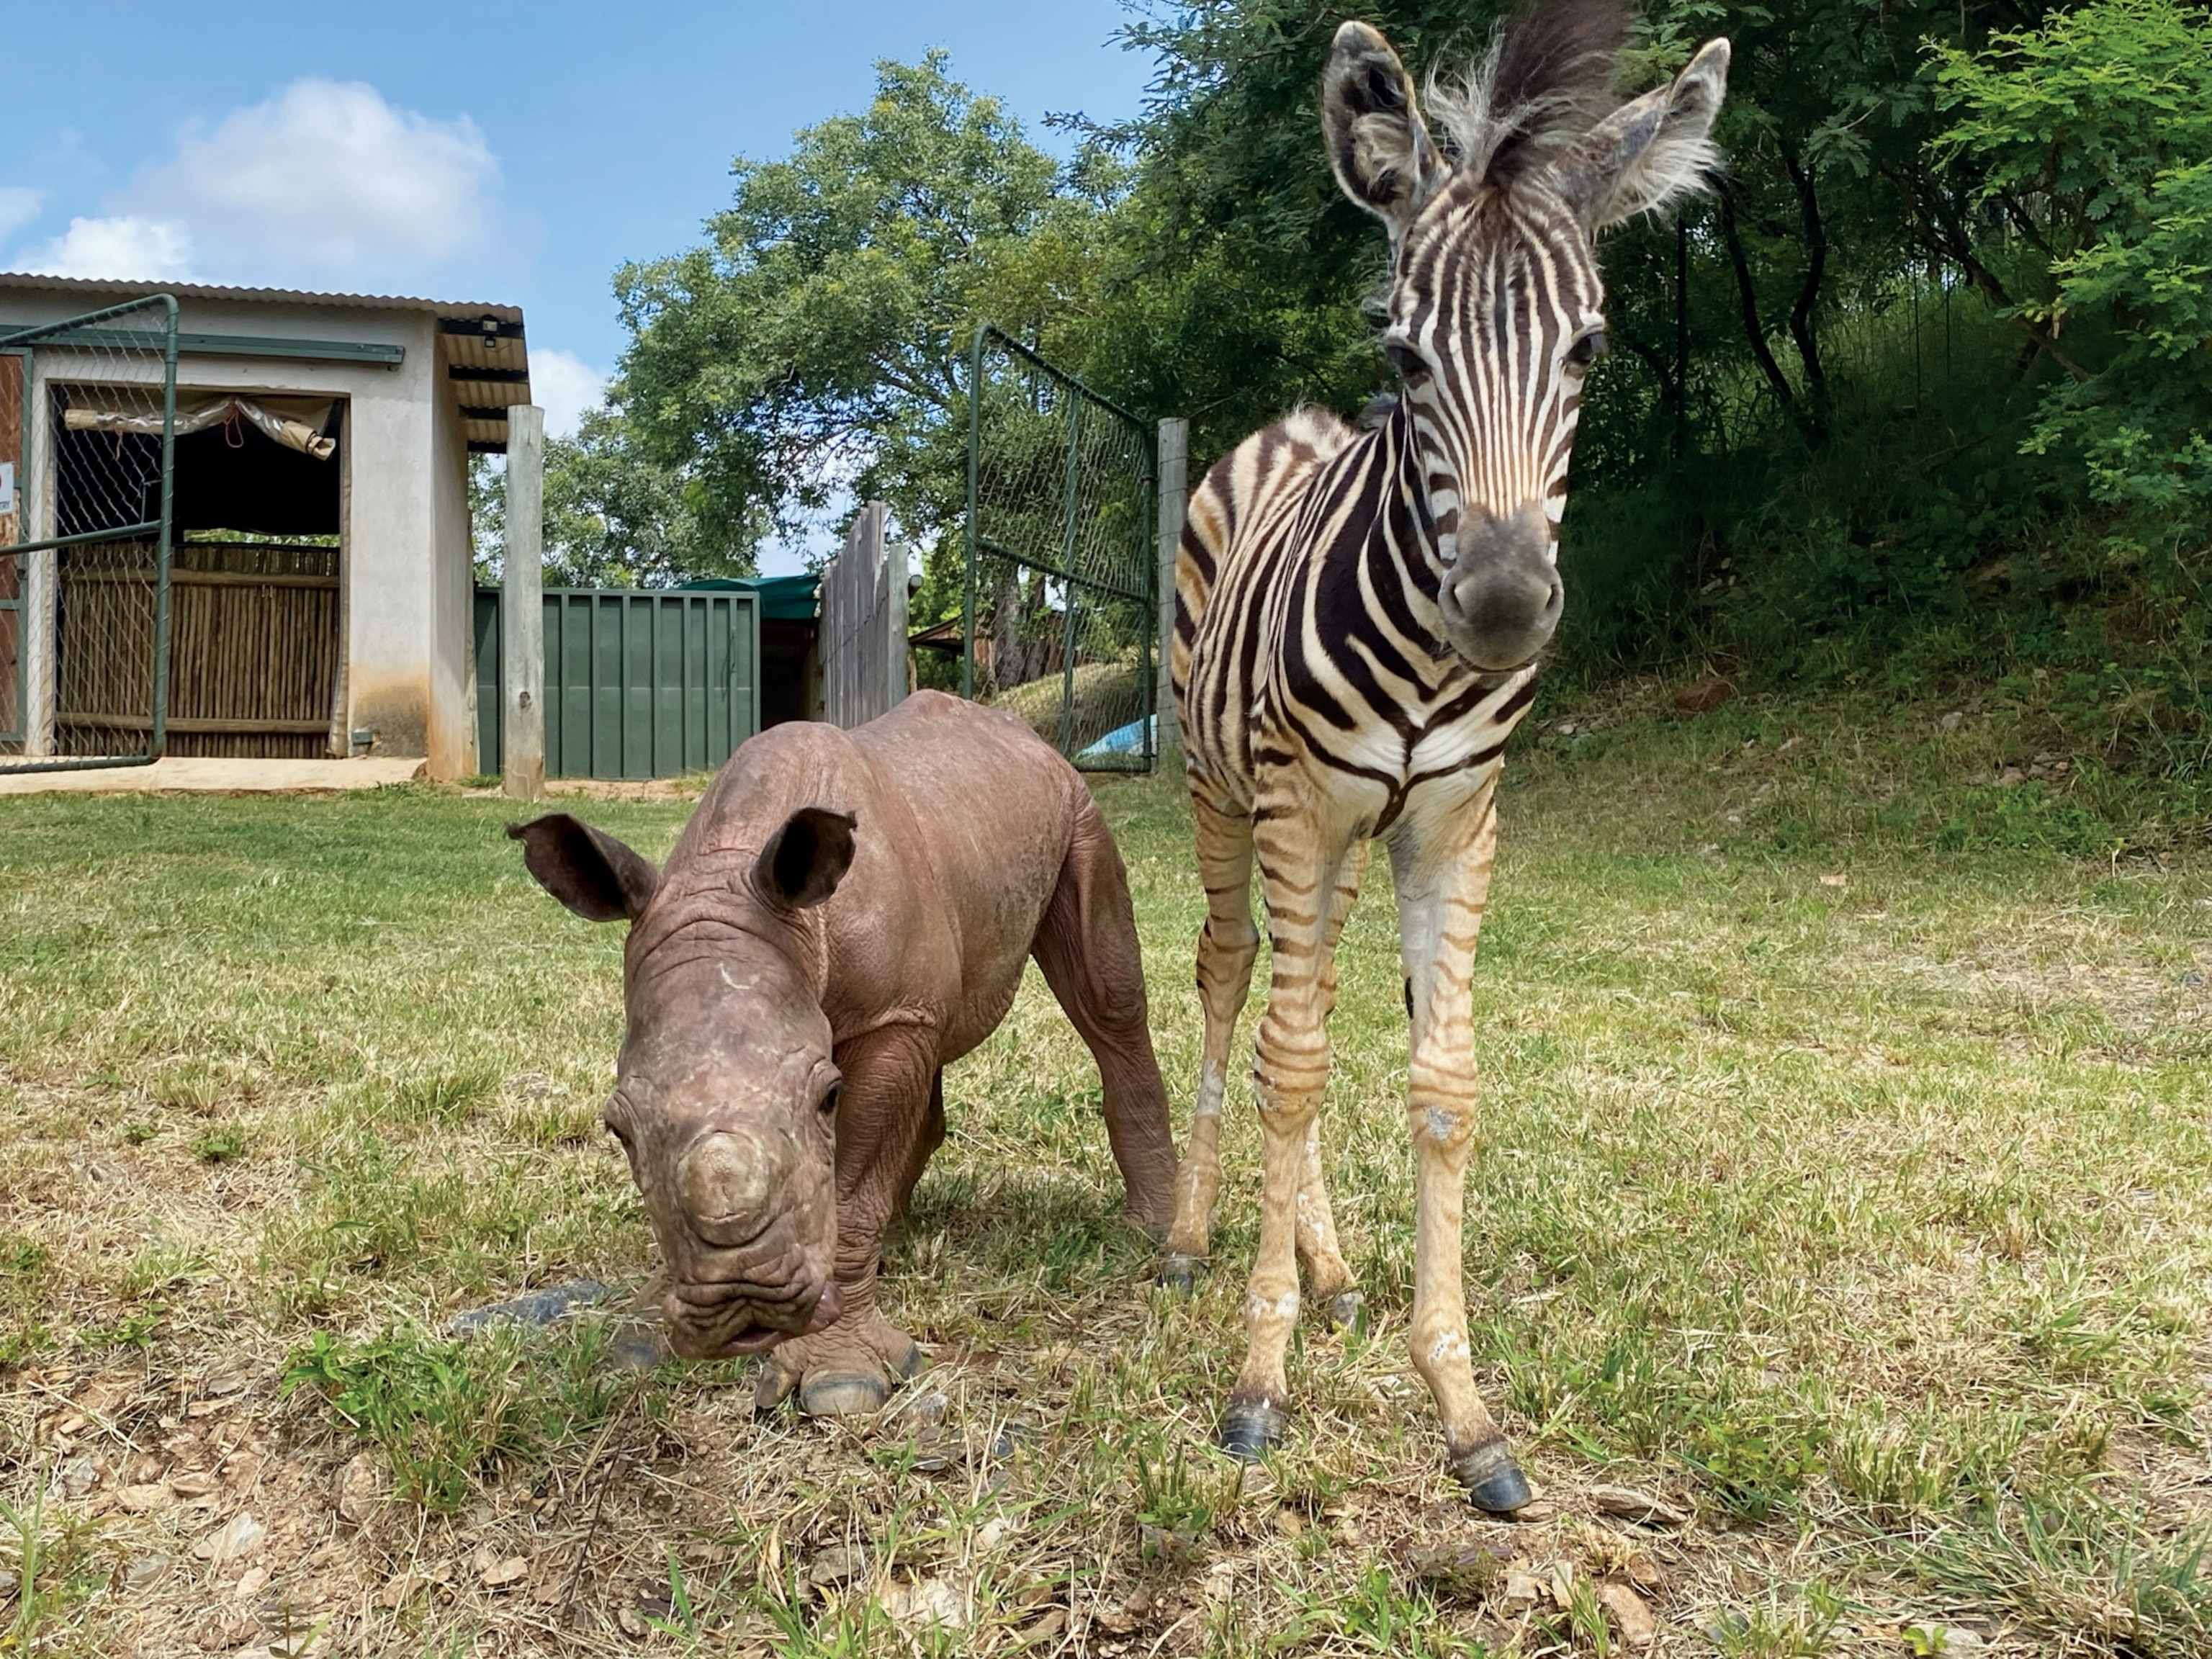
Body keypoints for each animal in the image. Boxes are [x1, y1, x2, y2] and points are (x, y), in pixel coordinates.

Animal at [511, 690, 1185, 1416]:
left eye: (827, 1097)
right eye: (617, 1128)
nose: (745, 1300)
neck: (733, 875)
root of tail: (1025, 736)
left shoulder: (892, 1015)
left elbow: (857, 1178)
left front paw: (841, 1379)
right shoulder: (892, 1008)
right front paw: (643, 1340)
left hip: (1078, 808)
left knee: (1108, 1001)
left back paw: (1151, 1232)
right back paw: (897, 1242)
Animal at [1159, 0, 1725, 1513]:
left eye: (1588, 352)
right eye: (1407, 359)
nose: (1508, 607)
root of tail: (1286, 426)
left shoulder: (1453, 819)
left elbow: (1441, 1085)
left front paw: (1460, 1404)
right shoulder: (1297, 806)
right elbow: (1294, 1064)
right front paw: (1258, 1380)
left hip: (1344, 842)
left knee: (1303, 997)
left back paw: (1328, 1263)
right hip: (1224, 797)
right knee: (1236, 986)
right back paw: (1189, 1233)